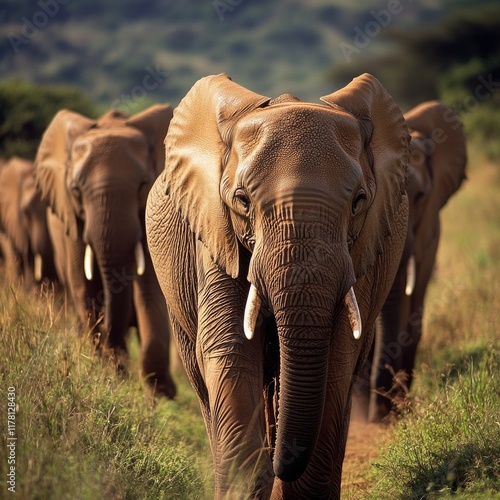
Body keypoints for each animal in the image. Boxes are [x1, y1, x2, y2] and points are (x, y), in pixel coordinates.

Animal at [33, 104, 178, 398]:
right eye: (76, 190)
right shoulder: (71, 222)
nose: (117, 358)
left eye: (143, 184)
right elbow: (85, 290)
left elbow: (151, 291)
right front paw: (109, 374)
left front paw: (160, 394)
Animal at [146, 72, 410, 498]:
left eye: (359, 201)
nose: (279, 463)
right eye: (241, 200)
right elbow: (231, 348)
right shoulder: (216, 236)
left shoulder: (363, 246)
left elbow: (338, 354)